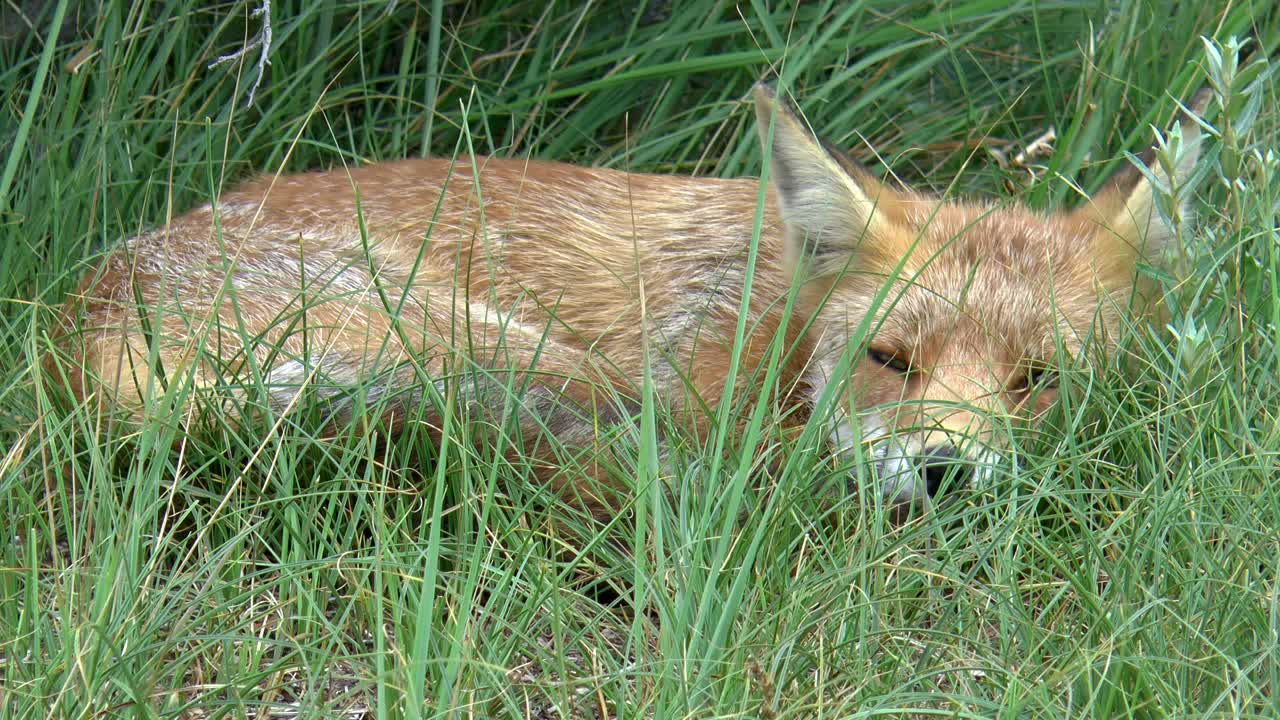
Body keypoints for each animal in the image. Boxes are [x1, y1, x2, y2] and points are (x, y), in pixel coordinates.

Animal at [55, 83, 1202, 518]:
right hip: (501, 348)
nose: (945, 474)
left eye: (1037, 381)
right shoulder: (687, 396)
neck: (768, 323)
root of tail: (78, 320)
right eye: (889, 360)